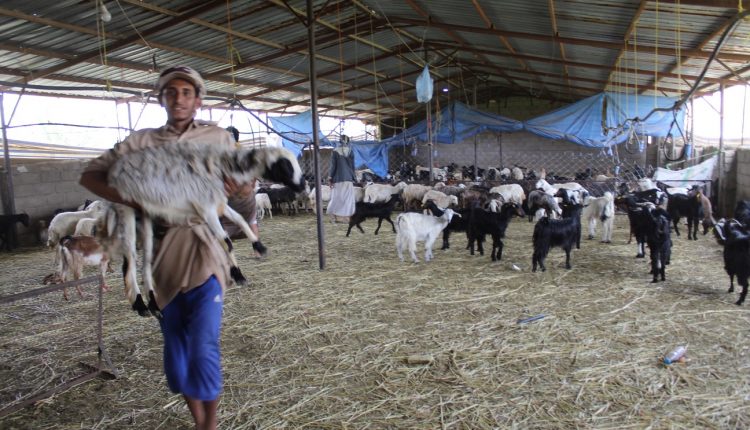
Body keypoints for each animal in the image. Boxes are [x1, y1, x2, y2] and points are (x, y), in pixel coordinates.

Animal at [106, 143, 306, 318]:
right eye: (285, 166)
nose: (303, 185)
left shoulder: (219, 204)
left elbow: (241, 220)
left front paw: (259, 246)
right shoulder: (206, 209)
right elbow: (226, 242)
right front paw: (238, 275)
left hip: (146, 218)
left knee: (145, 263)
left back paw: (153, 306)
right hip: (126, 213)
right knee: (130, 262)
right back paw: (140, 305)